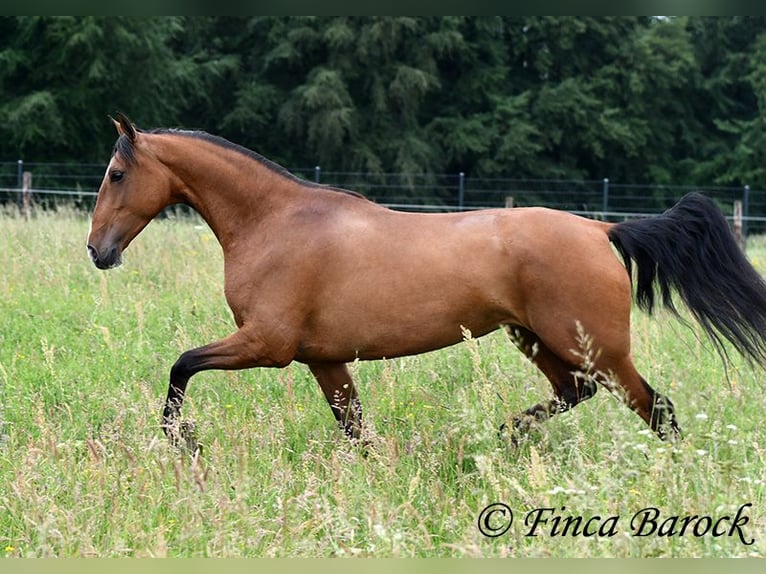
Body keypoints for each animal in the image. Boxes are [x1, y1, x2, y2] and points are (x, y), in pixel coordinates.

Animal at [87, 113, 766, 451]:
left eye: (117, 174)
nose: (98, 251)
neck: (275, 222)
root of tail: (602, 229)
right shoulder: (323, 358)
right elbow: (355, 430)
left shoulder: (268, 345)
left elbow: (181, 364)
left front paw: (181, 439)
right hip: (537, 339)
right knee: (575, 393)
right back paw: (505, 435)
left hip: (596, 347)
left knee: (656, 409)